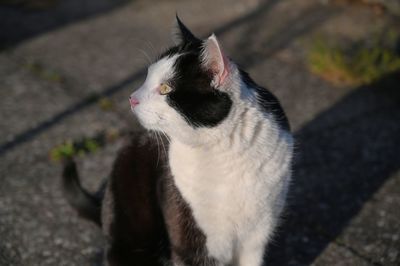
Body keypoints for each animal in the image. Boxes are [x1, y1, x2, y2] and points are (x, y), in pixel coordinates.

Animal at [62, 16, 294, 266]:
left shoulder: (257, 237)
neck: (223, 152)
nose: (131, 98)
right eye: (147, 77)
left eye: (165, 88)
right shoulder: (188, 236)